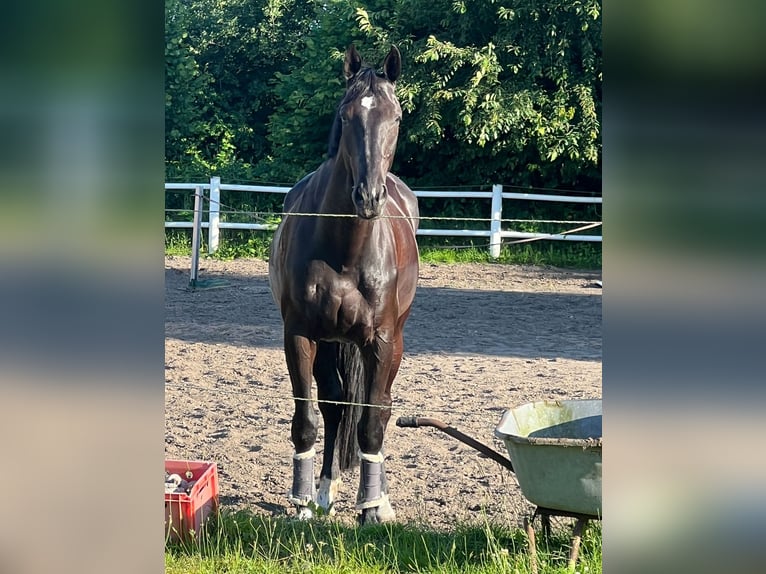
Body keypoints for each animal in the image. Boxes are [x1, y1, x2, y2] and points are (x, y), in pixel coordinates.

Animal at [270, 47, 424, 528]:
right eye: (346, 113)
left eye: (396, 117)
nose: (368, 197)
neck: (344, 250)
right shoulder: (300, 335)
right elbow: (307, 419)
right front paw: (303, 503)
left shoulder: (382, 341)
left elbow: (373, 423)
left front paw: (371, 509)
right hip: (331, 342)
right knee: (336, 407)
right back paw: (326, 490)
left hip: (390, 344)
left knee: (380, 409)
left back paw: (378, 498)